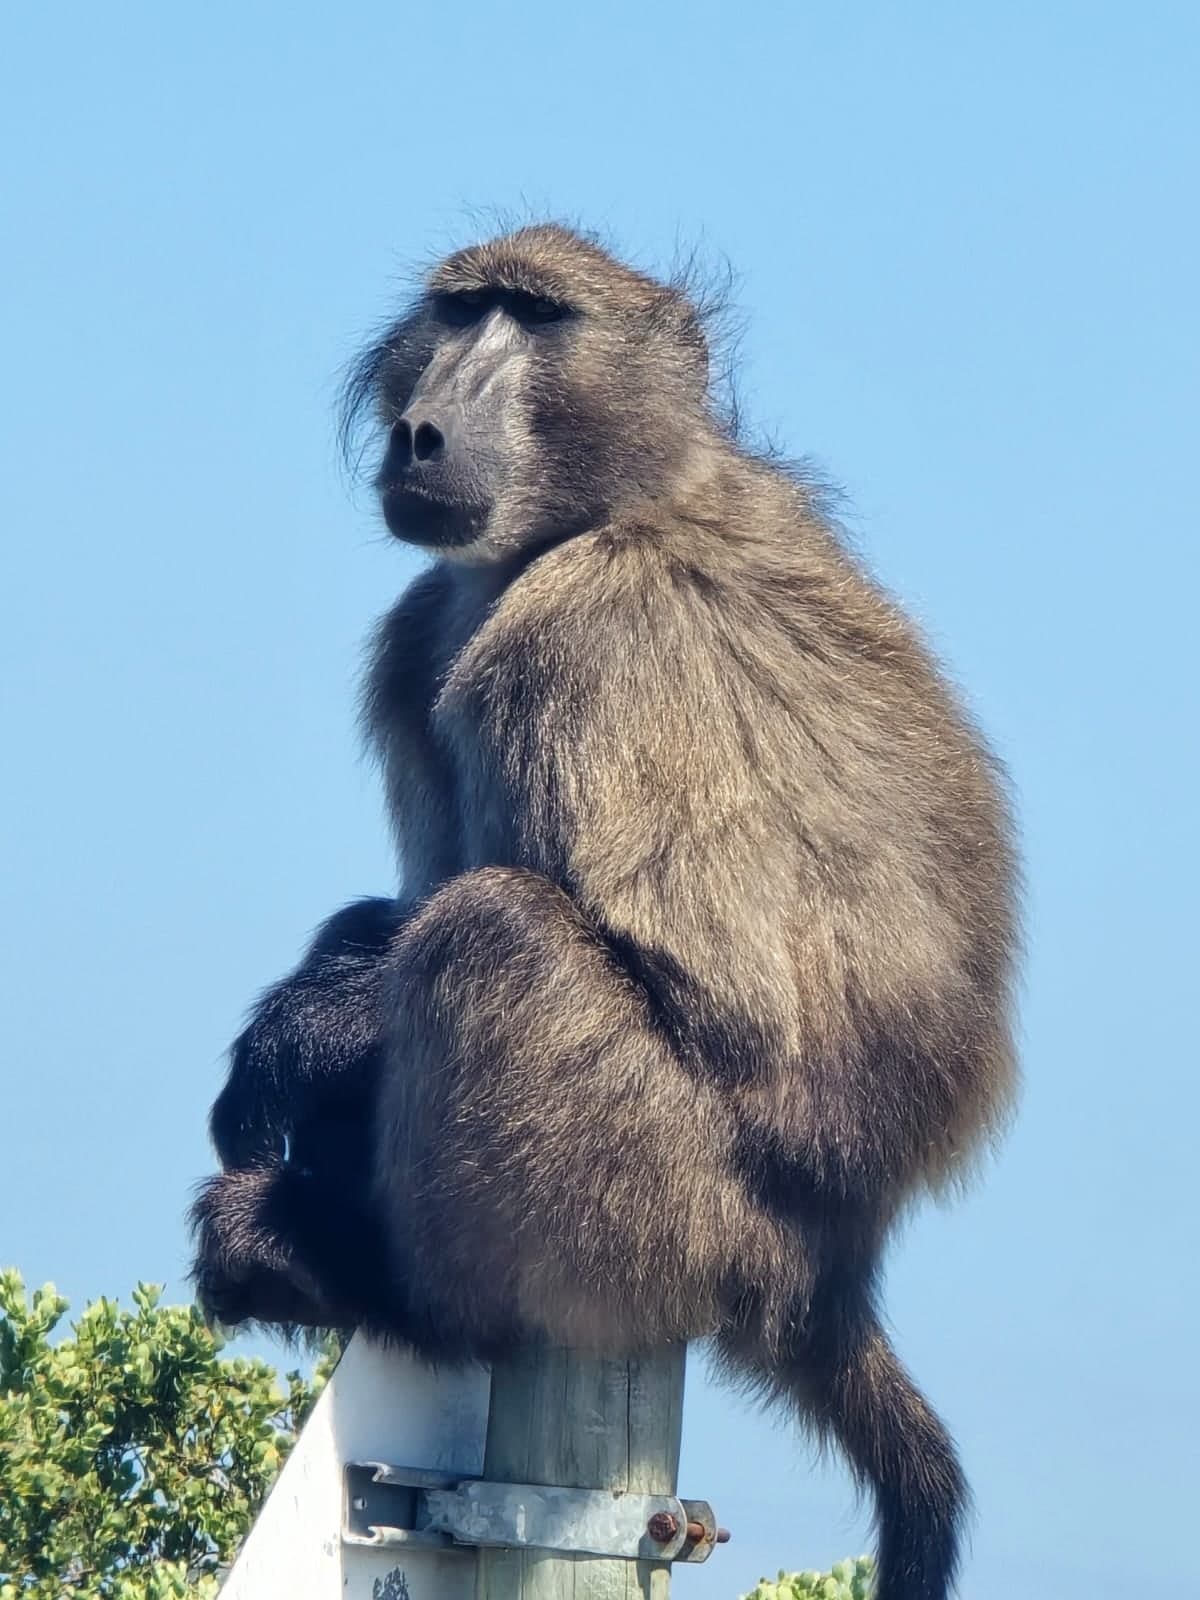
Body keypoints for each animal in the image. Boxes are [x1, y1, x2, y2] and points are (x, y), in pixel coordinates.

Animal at [191, 224, 1019, 1600]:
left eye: (535, 317)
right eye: (460, 309)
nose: (422, 431)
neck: (602, 509)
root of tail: (831, 1279)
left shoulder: (592, 633)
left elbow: (720, 1003)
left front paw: (299, 1046)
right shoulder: (419, 634)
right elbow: (391, 909)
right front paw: (306, 1027)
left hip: (675, 1216)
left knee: (493, 935)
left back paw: (371, 1277)